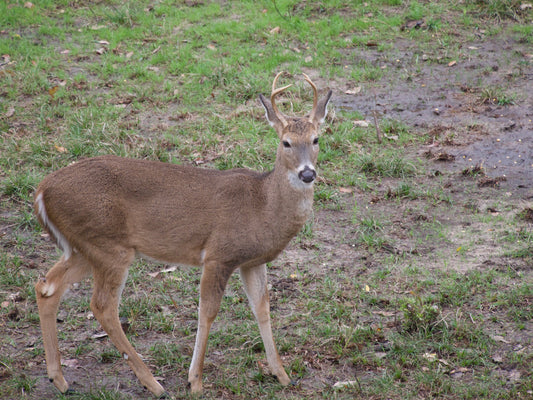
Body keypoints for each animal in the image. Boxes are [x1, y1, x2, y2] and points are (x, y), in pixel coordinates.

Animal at [33, 72, 330, 396]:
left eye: (316, 139)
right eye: (286, 142)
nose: (307, 173)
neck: (262, 205)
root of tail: (42, 191)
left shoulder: (252, 261)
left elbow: (262, 308)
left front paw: (282, 375)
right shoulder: (219, 254)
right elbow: (208, 311)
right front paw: (195, 381)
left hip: (85, 247)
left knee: (47, 286)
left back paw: (59, 379)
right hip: (108, 245)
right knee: (102, 306)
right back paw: (153, 383)